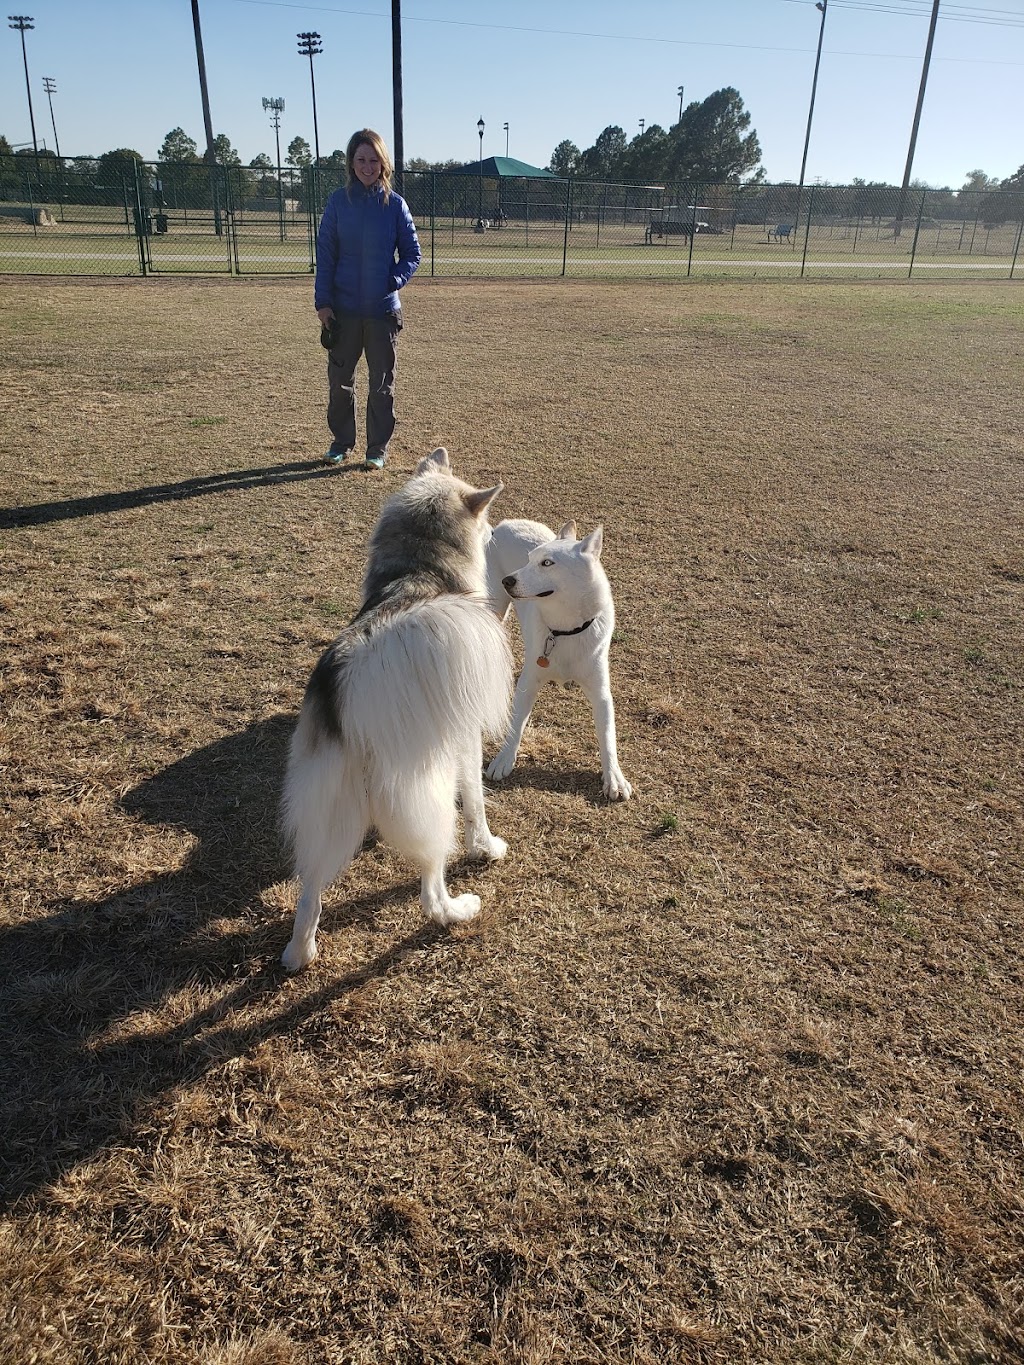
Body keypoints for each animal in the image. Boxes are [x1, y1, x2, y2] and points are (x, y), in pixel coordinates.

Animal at [486, 518, 630, 797]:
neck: (564, 630)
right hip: (494, 606)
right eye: (529, 559)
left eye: (547, 563)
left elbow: (608, 736)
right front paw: (503, 759)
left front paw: (614, 777)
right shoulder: (528, 682)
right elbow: (515, 723)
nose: (507, 581)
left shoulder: (601, 693)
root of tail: (505, 524)